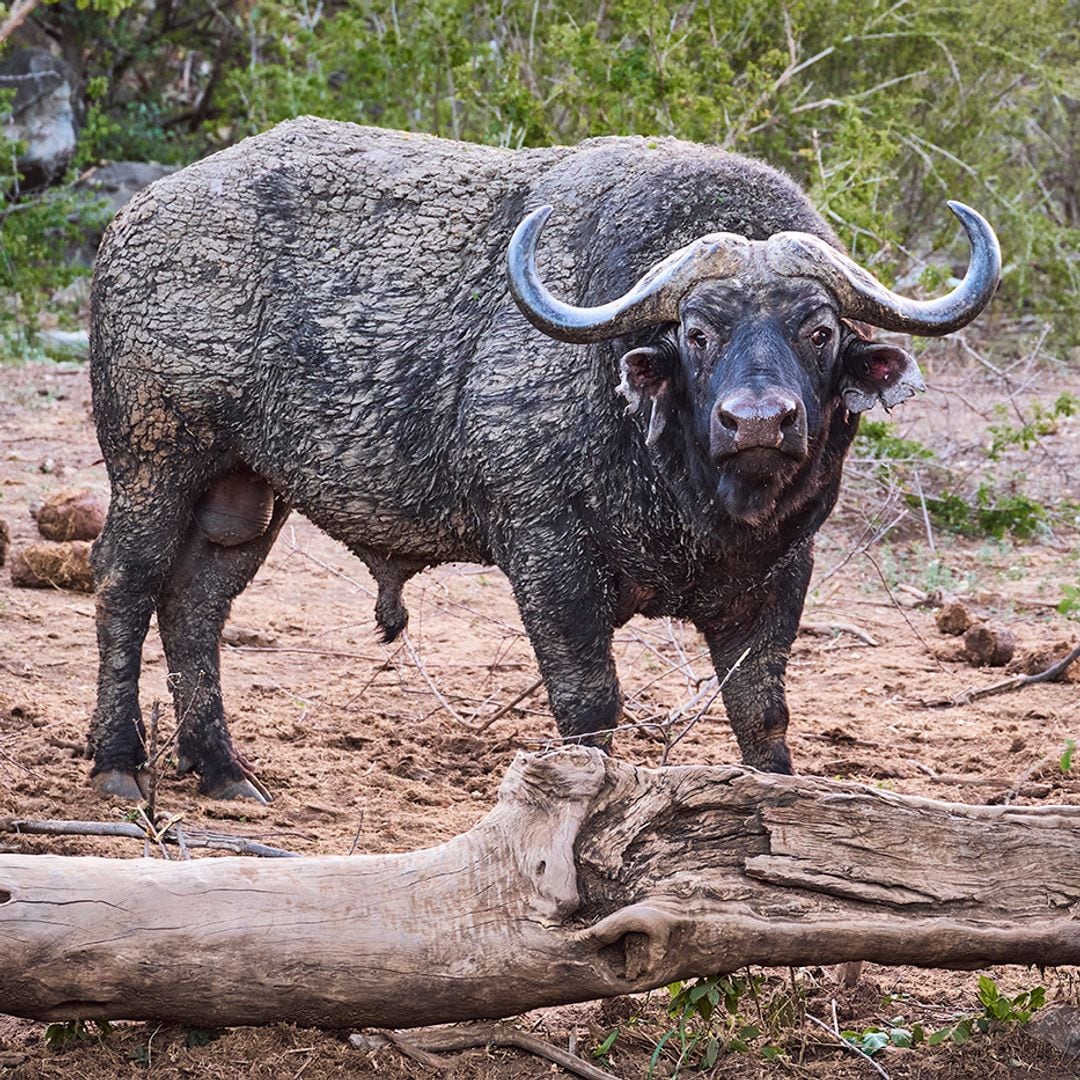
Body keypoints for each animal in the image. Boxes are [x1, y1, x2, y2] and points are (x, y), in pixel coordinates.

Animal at [84, 118, 993, 799]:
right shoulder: (546, 551)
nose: (759, 420)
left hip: (244, 492)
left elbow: (759, 711)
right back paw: (118, 763)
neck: (689, 493)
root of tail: (137, 220)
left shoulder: (781, 570)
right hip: (154, 461)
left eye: (821, 330)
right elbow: (590, 704)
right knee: (125, 583)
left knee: (197, 603)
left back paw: (219, 768)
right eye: (699, 333)